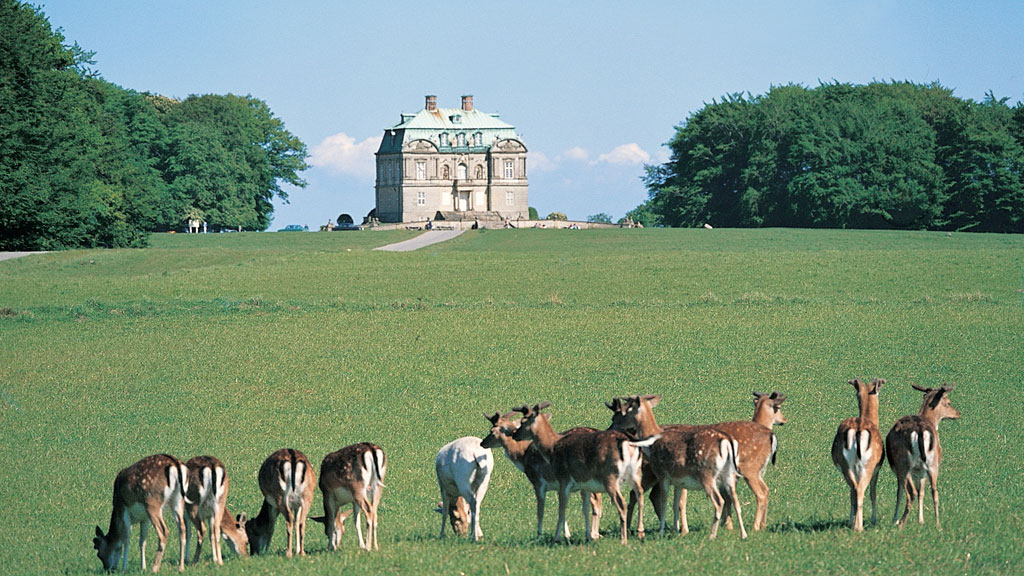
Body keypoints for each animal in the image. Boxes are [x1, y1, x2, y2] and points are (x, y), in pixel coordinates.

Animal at [481, 411, 603, 540]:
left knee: (596, 501)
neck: (523, 456)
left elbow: (541, 510)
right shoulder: (558, 485)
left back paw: (594, 534)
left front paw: (541, 535)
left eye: (491, 431)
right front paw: (567, 535)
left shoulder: (538, 482)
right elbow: (562, 509)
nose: (482, 442)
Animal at [511, 402, 656, 544]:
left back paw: (623, 540)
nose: (514, 435)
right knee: (639, 494)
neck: (551, 448)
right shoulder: (584, 486)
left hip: (610, 477)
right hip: (635, 473)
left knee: (622, 503)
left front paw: (555, 539)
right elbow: (585, 509)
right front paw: (588, 537)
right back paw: (640, 533)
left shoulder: (564, 479)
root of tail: (628, 442)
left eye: (522, 421)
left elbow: (561, 510)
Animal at [610, 395, 747, 540]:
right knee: (735, 500)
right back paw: (743, 534)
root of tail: (726, 442)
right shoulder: (678, 481)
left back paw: (712, 535)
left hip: (707, 475)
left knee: (719, 501)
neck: (651, 443)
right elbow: (676, 504)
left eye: (625, 411)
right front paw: (676, 530)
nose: (612, 427)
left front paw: (662, 532)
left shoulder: (662, 474)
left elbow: (665, 501)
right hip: (729, 475)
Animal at [831, 379, 885, 531]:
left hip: (846, 465)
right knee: (860, 489)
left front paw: (850, 520)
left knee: (854, 490)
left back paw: (854, 524)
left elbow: (851, 494)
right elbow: (873, 492)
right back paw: (859, 527)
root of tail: (858, 430)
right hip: (869, 465)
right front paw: (873, 520)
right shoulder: (877, 468)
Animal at [885, 383, 961, 529]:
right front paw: (921, 520)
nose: (958, 414)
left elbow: (900, 493)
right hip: (931, 464)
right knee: (934, 492)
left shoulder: (904, 471)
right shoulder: (921, 472)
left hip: (904, 465)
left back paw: (901, 523)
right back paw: (937, 524)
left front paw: (895, 520)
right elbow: (922, 492)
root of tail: (920, 430)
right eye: (949, 403)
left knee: (911, 492)